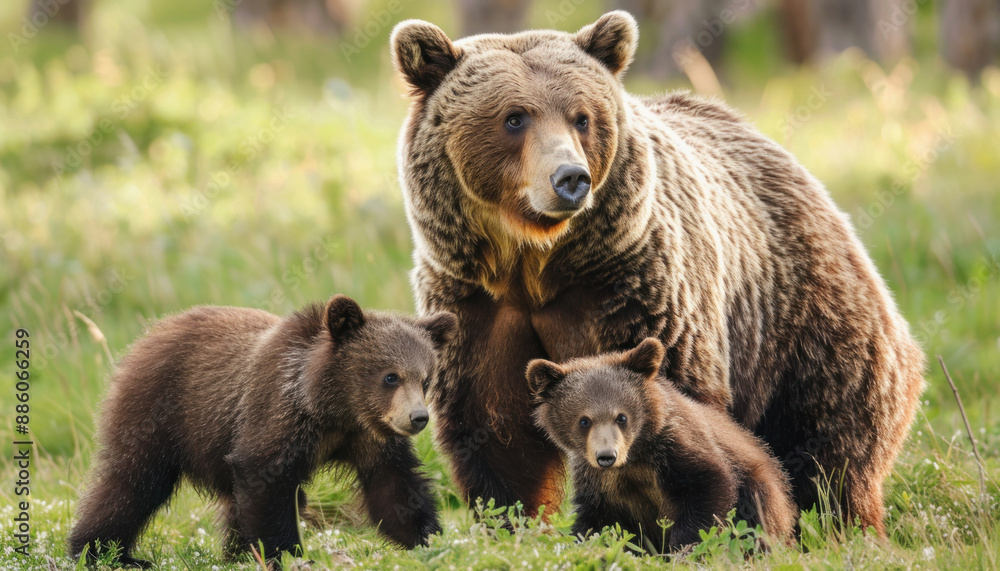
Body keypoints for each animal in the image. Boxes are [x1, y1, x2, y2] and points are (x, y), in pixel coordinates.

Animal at [67, 294, 456, 568]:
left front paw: (432, 540)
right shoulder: (276, 415)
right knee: (132, 483)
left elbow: (393, 487)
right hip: (159, 410)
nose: (418, 418)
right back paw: (101, 552)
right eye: (390, 376)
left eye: (425, 378)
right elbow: (267, 481)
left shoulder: (370, 437)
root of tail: (151, 332)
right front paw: (286, 553)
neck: (333, 408)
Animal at [527, 338, 797, 551]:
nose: (606, 456)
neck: (634, 459)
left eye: (621, 417)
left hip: (762, 485)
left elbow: (708, 488)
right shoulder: (598, 481)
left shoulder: (677, 449)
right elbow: (595, 520)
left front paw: (684, 547)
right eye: (584, 420)